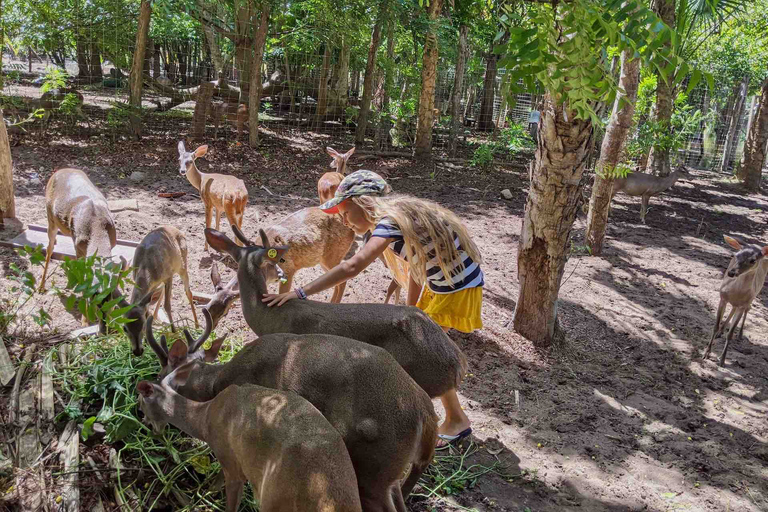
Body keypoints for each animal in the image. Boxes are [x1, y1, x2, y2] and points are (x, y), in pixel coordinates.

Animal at [120, 226, 198, 358]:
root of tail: (177, 230)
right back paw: (156, 316)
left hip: (182, 264)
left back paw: (197, 324)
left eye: (143, 325)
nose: (137, 351)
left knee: (188, 292)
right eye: (125, 328)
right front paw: (147, 341)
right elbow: (147, 308)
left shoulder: (168, 275)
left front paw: (174, 332)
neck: (146, 267)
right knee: (160, 294)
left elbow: (167, 305)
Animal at [704, 234, 768, 366]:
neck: (736, 293)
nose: (731, 273)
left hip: (755, 293)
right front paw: (706, 353)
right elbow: (715, 326)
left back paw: (740, 334)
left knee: (747, 309)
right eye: (736, 255)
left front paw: (722, 360)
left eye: (753, 260)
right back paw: (721, 331)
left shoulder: (744, 303)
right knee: (733, 307)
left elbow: (730, 334)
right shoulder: (722, 297)